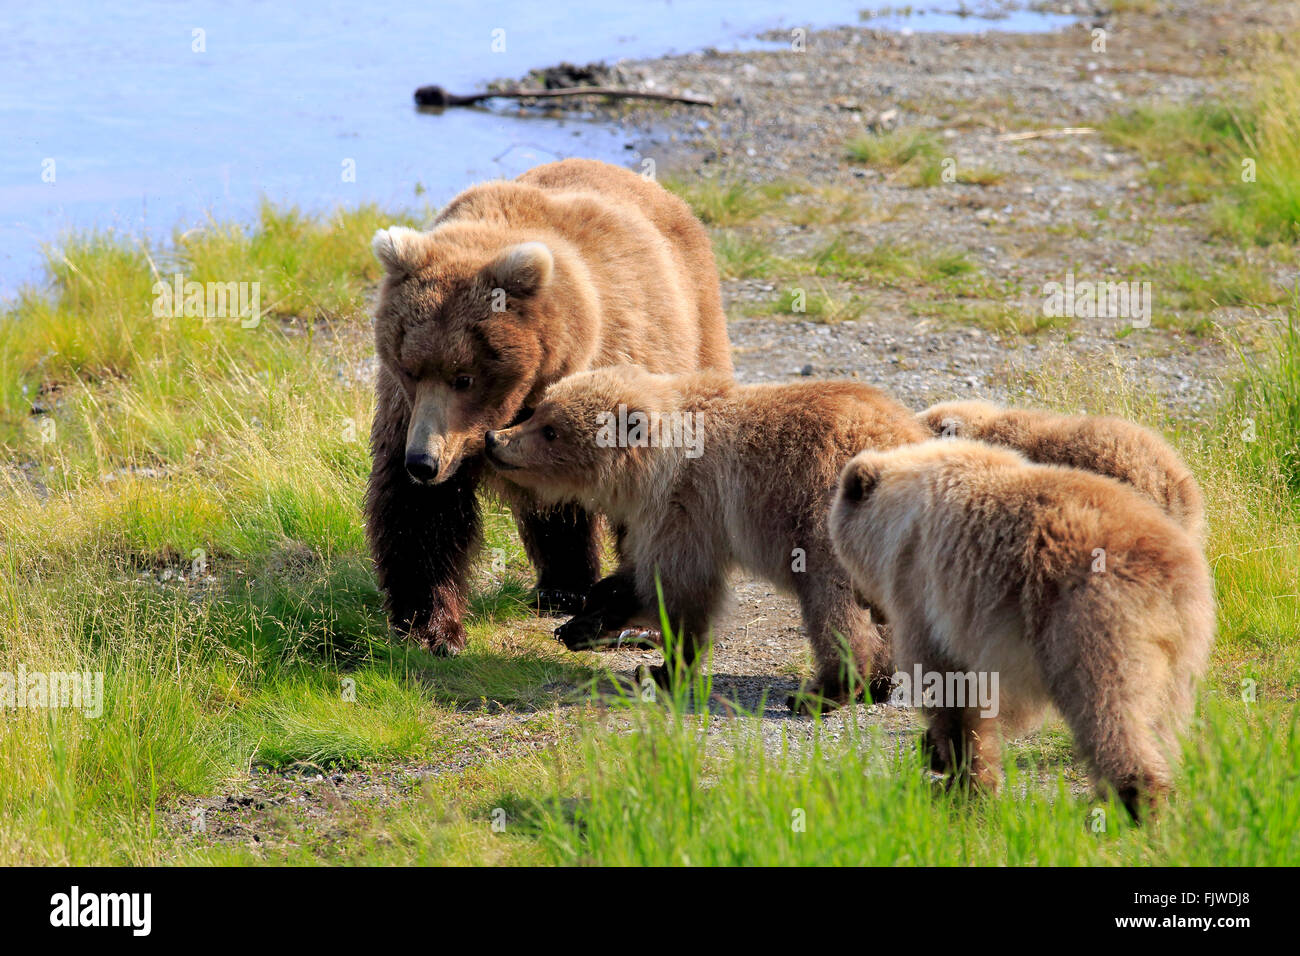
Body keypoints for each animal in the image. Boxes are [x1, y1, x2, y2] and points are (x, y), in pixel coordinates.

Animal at [366, 162, 733, 658]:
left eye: (465, 376)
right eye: (409, 368)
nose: (423, 462)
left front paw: (635, 619)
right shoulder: (409, 413)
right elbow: (420, 513)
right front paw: (431, 628)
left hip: (695, 326)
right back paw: (562, 586)